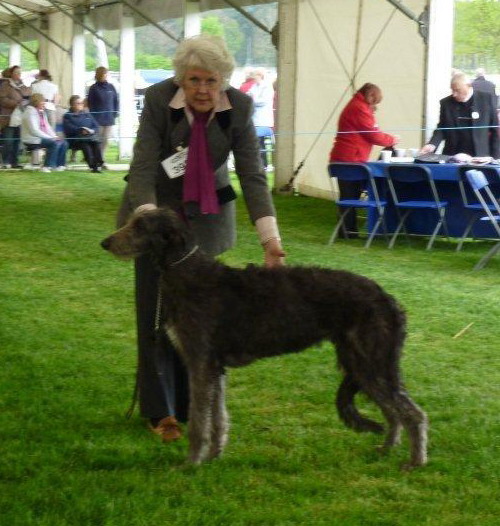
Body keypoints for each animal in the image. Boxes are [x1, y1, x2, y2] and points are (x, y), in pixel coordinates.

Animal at [100, 208, 426, 468]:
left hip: (371, 360)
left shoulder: (200, 362)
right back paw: (387, 449)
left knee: (413, 413)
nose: (105, 243)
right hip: (363, 364)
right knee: (394, 412)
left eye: (140, 226)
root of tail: (389, 300)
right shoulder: (215, 367)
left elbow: (199, 421)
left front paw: (191, 463)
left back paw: (415, 461)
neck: (187, 272)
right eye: (132, 221)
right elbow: (218, 418)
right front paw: (214, 456)